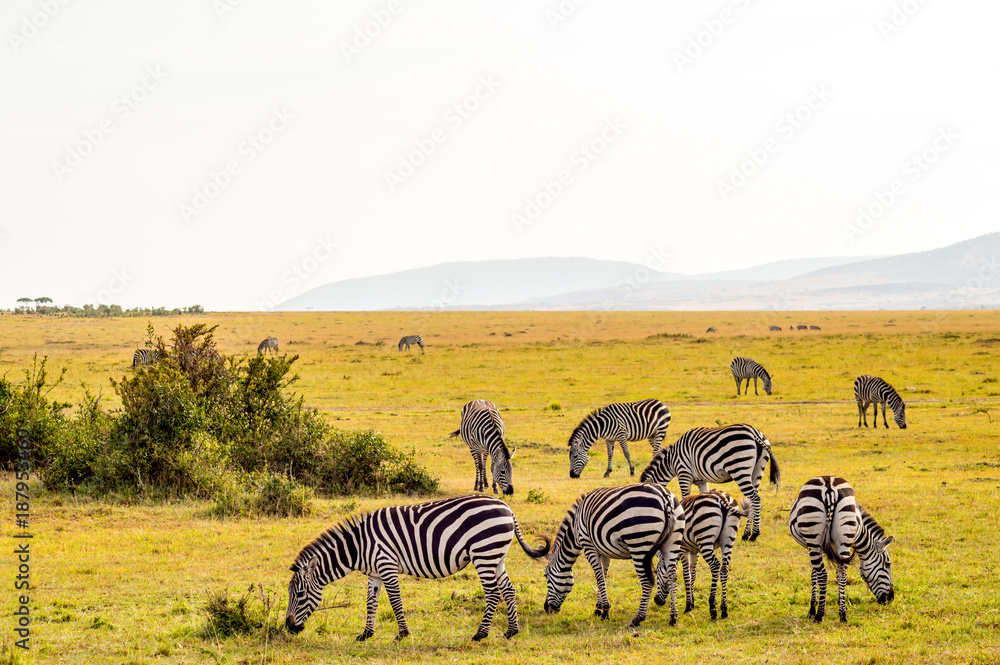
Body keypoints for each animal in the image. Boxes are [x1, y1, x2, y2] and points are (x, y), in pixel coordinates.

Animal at [285, 495, 549, 642]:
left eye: (300, 594)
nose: (288, 628)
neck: (358, 546)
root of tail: (507, 507)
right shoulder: (374, 574)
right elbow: (371, 603)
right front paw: (366, 634)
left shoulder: (387, 566)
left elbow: (395, 601)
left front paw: (402, 633)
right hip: (496, 556)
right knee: (509, 589)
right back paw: (511, 631)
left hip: (484, 554)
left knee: (493, 593)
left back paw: (480, 634)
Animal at [543, 483, 685, 628]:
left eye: (546, 576)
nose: (546, 608)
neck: (575, 530)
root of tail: (665, 497)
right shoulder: (604, 552)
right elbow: (604, 577)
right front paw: (598, 609)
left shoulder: (588, 546)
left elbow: (599, 578)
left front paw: (605, 611)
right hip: (672, 544)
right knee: (673, 577)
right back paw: (673, 617)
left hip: (639, 544)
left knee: (647, 581)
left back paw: (637, 618)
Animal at [640, 423, 779, 542]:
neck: (671, 461)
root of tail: (755, 433)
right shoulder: (701, 480)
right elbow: (703, 496)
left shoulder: (684, 474)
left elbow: (685, 498)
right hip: (757, 472)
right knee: (751, 500)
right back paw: (746, 534)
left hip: (739, 468)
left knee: (755, 498)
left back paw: (754, 534)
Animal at [655, 490, 750, 620]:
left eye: (656, 572)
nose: (657, 601)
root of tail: (721, 497)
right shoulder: (694, 551)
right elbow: (693, 574)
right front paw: (692, 602)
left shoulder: (683, 549)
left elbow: (686, 575)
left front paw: (688, 606)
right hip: (728, 540)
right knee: (724, 569)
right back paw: (724, 609)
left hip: (705, 539)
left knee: (715, 565)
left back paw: (713, 608)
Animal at [788, 476, 895, 622]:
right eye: (887, 564)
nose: (891, 598)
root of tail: (829, 487)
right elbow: (828, 574)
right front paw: (840, 603)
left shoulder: (814, 546)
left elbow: (814, 573)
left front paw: (812, 610)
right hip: (843, 536)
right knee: (842, 573)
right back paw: (842, 614)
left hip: (814, 539)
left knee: (823, 574)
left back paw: (820, 615)